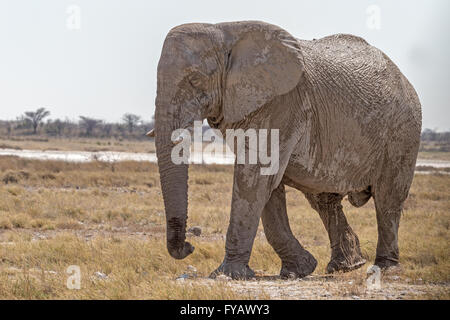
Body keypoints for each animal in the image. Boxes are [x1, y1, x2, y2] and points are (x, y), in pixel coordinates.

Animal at [153, 20, 424, 280]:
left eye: (195, 80)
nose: (189, 246)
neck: (223, 31)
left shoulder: (280, 103)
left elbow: (254, 177)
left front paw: (226, 275)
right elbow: (265, 184)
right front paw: (299, 270)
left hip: (403, 131)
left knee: (388, 200)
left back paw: (385, 269)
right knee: (324, 200)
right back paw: (345, 267)